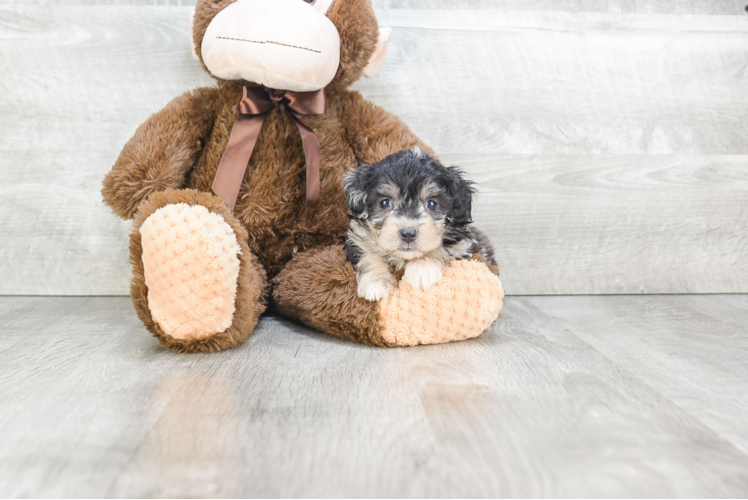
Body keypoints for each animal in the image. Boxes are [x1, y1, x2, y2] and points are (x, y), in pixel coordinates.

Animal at [344, 147, 496, 300]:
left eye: (431, 204)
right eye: (385, 202)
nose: (408, 234)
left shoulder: (464, 243)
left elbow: (441, 247)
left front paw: (422, 268)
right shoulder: (358, 237)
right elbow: (367, 252)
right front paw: (376, 282)